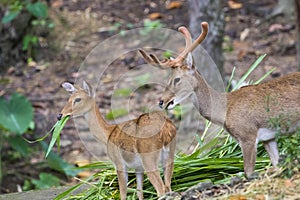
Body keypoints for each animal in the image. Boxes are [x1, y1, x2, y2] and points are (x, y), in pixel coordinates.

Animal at [140, 22, 300, 178]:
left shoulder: (247, 134)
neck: (225, 111)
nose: (161, 101)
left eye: (177, 79)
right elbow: (277, 164)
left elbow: (248, 172)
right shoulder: (268, 138)